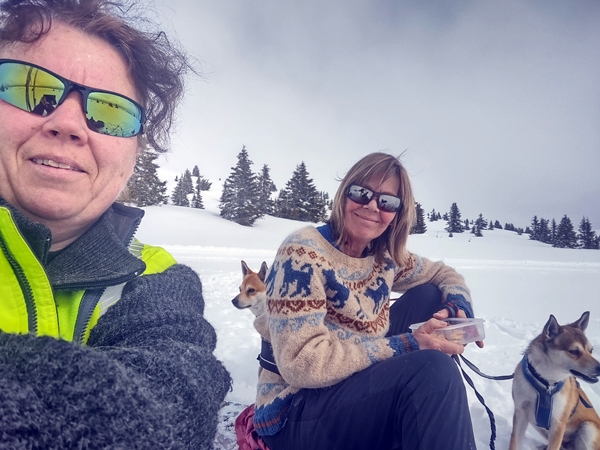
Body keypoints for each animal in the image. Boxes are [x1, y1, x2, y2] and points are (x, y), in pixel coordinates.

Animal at [508, 312, 600, 450]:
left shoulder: (558, 423)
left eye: (591, 350)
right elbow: (514, 444)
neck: (546, 382)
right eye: (574, 351)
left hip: (588, 429)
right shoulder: (520, 413)